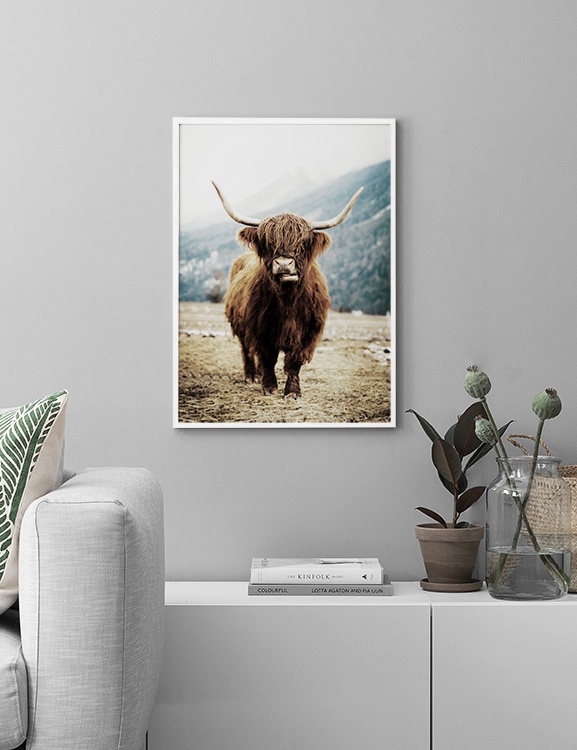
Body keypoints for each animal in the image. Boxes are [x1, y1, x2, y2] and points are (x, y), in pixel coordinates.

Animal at [212, 181, 363, 399]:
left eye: (302, 243)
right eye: (267, 243)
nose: (284, 264)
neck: (288, 301)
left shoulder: (308, 332)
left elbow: (294, 362)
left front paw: (292, 392)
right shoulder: (261, 328)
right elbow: (267, 357)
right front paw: (269, 387)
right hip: (240, 325)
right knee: (246, 349)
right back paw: (251, 376)